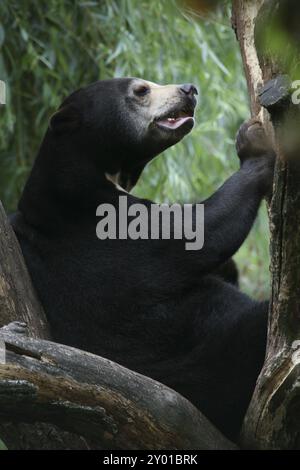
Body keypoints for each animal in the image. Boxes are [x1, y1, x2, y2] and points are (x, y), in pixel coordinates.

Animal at [10, 78, 274, 440]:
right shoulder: (97, 227)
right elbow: (196, 231)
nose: (189, 88)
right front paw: (253, 144)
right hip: (221, 357)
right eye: (140, 90)